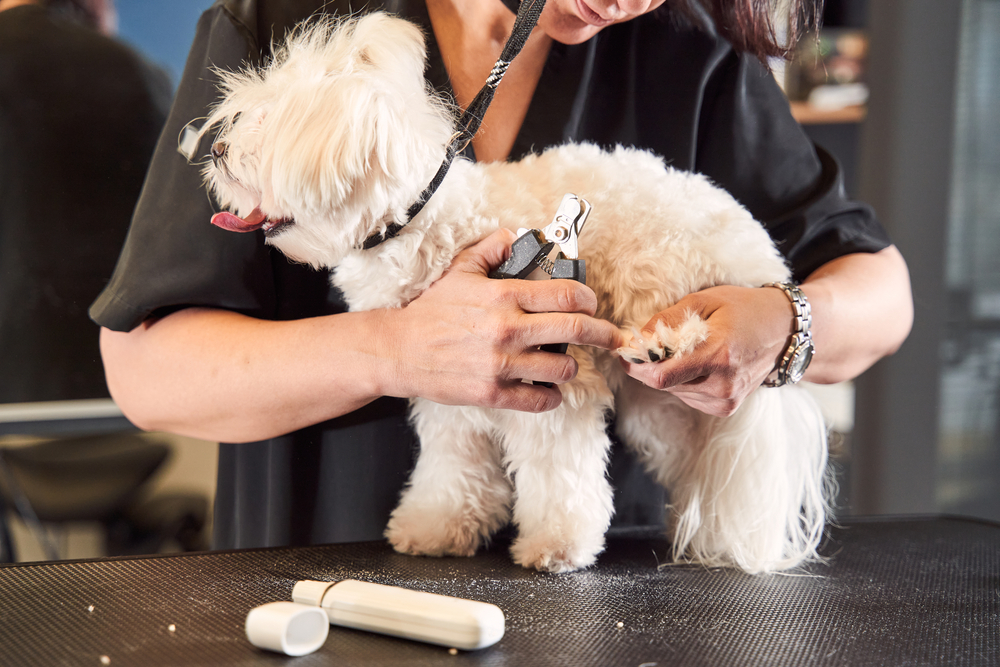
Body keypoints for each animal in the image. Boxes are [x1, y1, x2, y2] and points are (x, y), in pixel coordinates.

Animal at [197, 11, 828, 576]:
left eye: (271, 126)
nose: (219, 151)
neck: (429, 223)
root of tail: (761, 253)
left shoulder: (560, 381)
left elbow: (558, 470)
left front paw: (557, 544)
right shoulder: (449, 391)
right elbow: (452, 466)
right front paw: (436, 526)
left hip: (662, 276)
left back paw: (669, 344)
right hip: (658, 411)